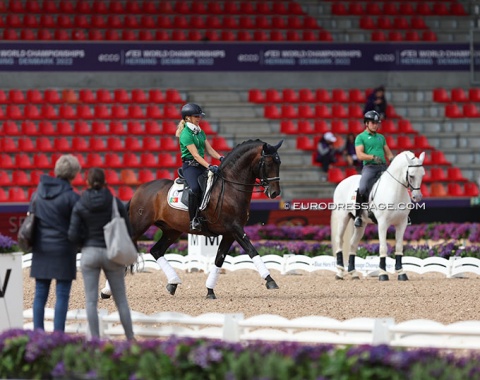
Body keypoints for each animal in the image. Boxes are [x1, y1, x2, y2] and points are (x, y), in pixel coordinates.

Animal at [129, 140, 284, 300]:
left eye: (278, 163)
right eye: (268, 163)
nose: (275, 193)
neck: (231, 187)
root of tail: (139, 190)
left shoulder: (229, 233)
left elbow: (219, 259)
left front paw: (210, 291)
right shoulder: (235, 228)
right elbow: (251, 250)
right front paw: (270, 280)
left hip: (172, 230)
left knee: (156, 250)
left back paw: (173, 283)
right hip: (139, 226)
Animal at [332, 150, 426, 280]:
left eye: (422, 174)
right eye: (411, 175)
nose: (417, 197)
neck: (395, 190)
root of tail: (342, 182)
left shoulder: (401, 224)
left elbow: (399, 247)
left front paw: (401, 273)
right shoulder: (382, 224)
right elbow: (383, 247)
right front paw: (383, 274)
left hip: (361, 224)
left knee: (353, 243)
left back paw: (353, 273)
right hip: (343, 218)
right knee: (339, 240)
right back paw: (340, 273)